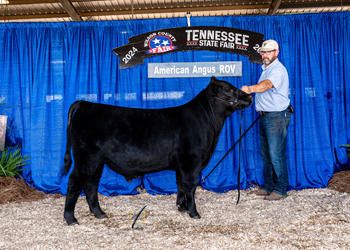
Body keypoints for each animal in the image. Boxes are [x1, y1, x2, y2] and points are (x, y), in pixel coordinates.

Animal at [63, 76, 253, 225]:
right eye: (228, 90)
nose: (250, 96)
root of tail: (87, 104)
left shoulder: (181, 165)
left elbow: (181, 185)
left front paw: (181, 208)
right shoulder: (191, 161)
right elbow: (191, 186)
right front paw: (194, 213)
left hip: (98, 161)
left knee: (91, 184)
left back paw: (99, 213)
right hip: (86, 158)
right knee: (74, 182)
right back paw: (71, 218)